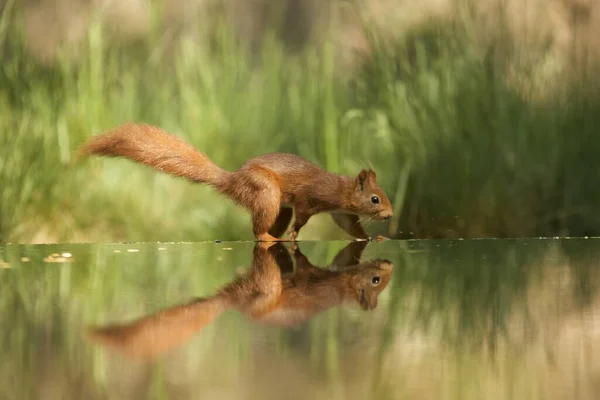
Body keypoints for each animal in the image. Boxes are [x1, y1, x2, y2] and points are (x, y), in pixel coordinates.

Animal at [79, 122, 394, 241]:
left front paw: (372, 237)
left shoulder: (342, 213)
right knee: (257, 230)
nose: (390, 214)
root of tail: (233, 180)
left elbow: (350, 227)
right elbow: (303, 216)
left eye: (382, 195)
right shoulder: (310, 197)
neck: (341, 189)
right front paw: (296, 234)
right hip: (266, 192)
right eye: (375, 199)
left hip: (278, 206)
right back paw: (272, 238)